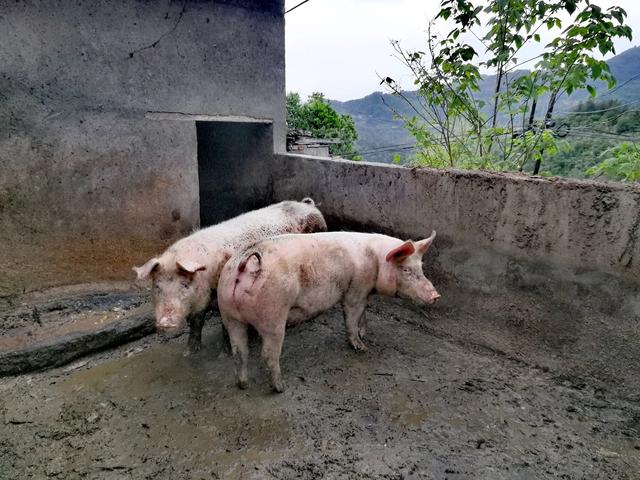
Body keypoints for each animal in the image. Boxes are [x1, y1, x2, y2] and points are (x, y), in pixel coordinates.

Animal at [133, 199, 326, 355]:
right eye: (157, 287)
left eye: (184, 285)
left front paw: (225, 353)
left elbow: (226, 326)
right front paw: (189, 353)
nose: (166, 323)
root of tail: (308, 205)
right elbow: (196, 322)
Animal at [217, 230, 439, 392]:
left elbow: (364, 314)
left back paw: (243, 385)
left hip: (229, 314)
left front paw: (364, 333)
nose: (435, 296)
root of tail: (243, 266)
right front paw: (362, 347)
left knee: (239, 351)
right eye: (406, 270)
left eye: (421, 267)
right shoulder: (356, 289)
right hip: (272, 315)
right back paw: (280, 387)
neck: (376, 260)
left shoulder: (365, 291)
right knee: (268, 355)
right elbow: (351, 316)